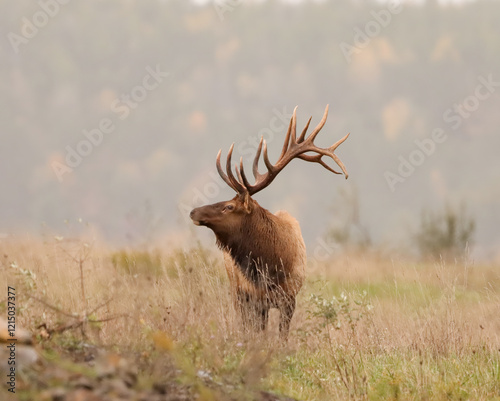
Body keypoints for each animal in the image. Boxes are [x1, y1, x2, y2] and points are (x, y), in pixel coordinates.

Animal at [189, 104, 350, 336]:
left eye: (229, 206)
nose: (193, 211)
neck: (272, 266)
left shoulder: (289, 298)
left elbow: (281, 336)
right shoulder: (253, 298)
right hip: (237, 293)